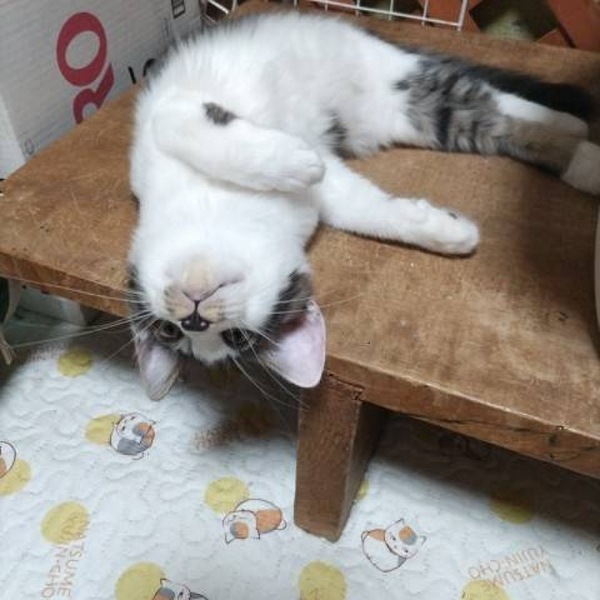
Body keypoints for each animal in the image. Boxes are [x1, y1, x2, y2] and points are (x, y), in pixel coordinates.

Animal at [128, 10, 598, 400]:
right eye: (171, 333)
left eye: (235, 339)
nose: (194, 320)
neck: (220, 207)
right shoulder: (333, 192)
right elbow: (372, 213)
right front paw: (449, 232)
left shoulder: (172, 109)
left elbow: (182, 128)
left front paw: (294, 159)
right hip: (430, 116)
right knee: (500, 120)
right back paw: (586, 161)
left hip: (396, 75)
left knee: (506, 101)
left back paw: (575, 129)